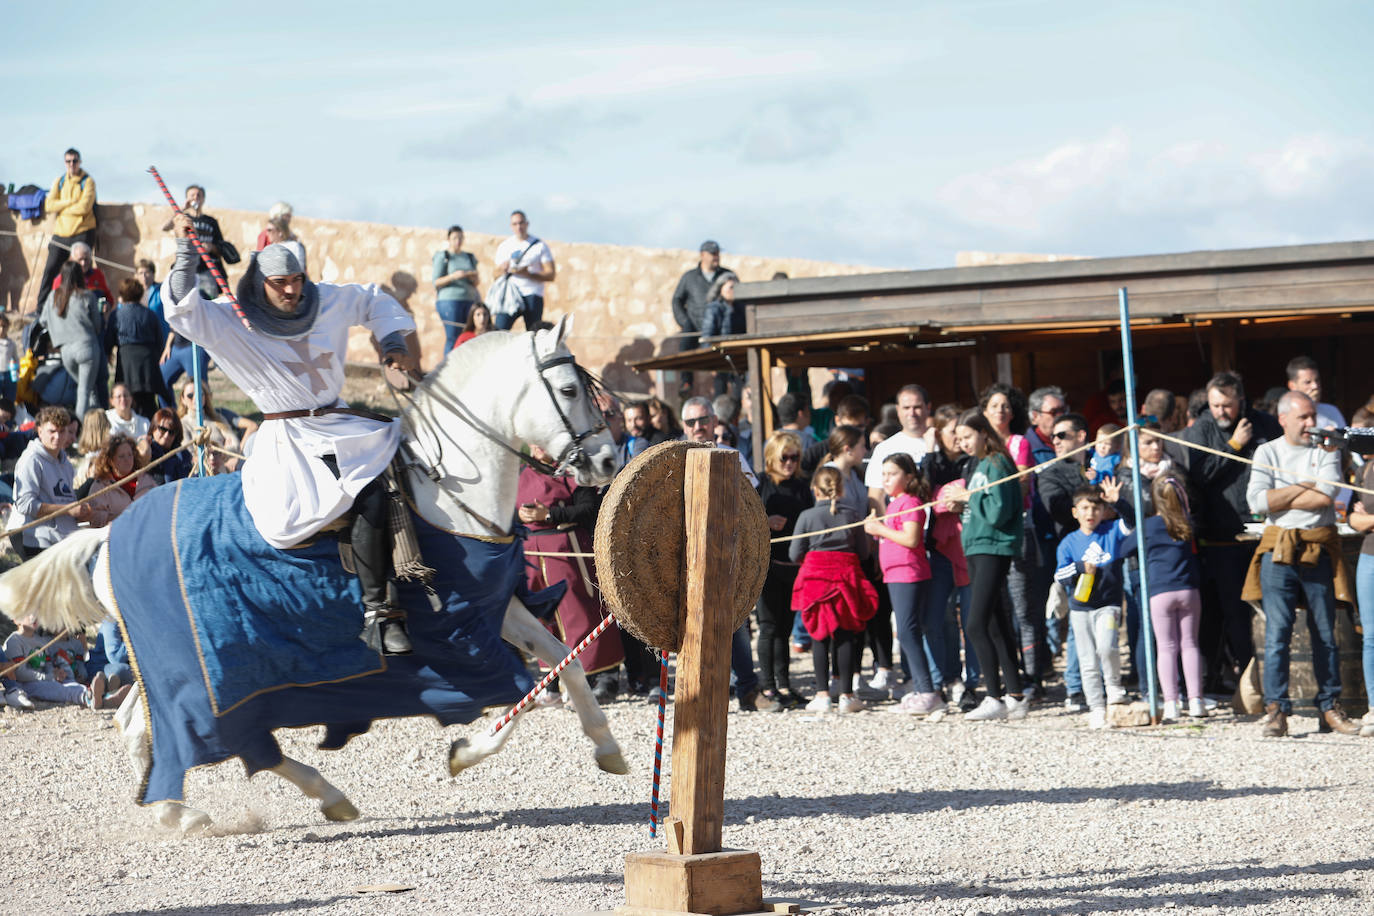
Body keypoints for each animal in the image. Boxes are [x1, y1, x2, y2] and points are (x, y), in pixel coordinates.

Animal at [2, 318, 626, 834]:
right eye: (569, 391)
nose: (606, 461)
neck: (445, 492)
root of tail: (109, 537)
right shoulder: (459, 630)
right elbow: (521, 691)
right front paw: (466, 751)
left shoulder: (495, 609)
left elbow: (561, 662)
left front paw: (606, 748)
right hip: (200, 664)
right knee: (209, 732)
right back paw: (302, 797)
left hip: (165, 660)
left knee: (139, 723)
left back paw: (189, 812)